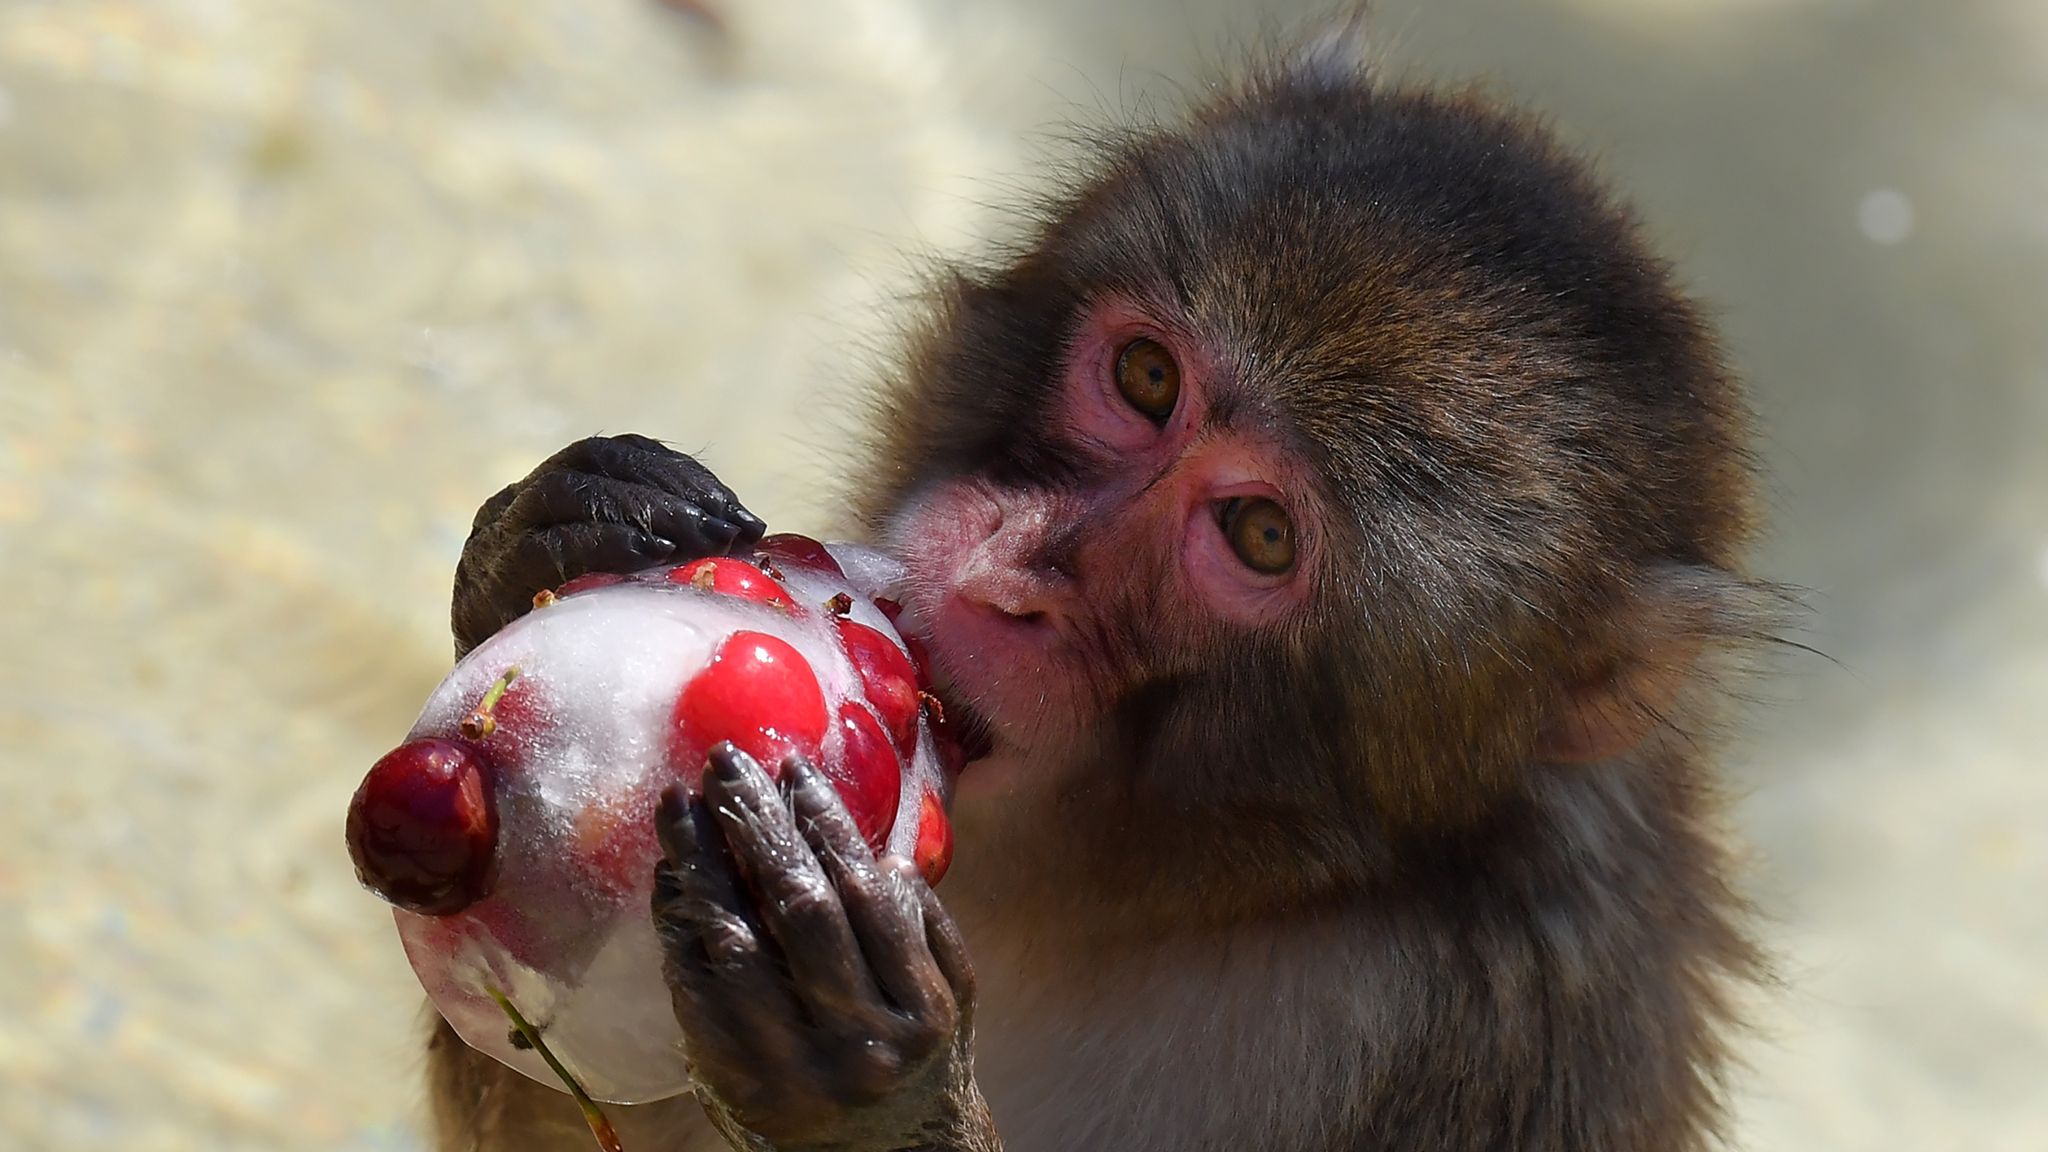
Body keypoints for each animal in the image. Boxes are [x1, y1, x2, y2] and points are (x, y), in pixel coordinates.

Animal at [428, 31, 1777, 1147]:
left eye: (1260, 535)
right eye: (1143, 377)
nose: (1009, 574)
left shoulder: (1463, 1030)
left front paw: (862, 1076)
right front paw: (536, 546)